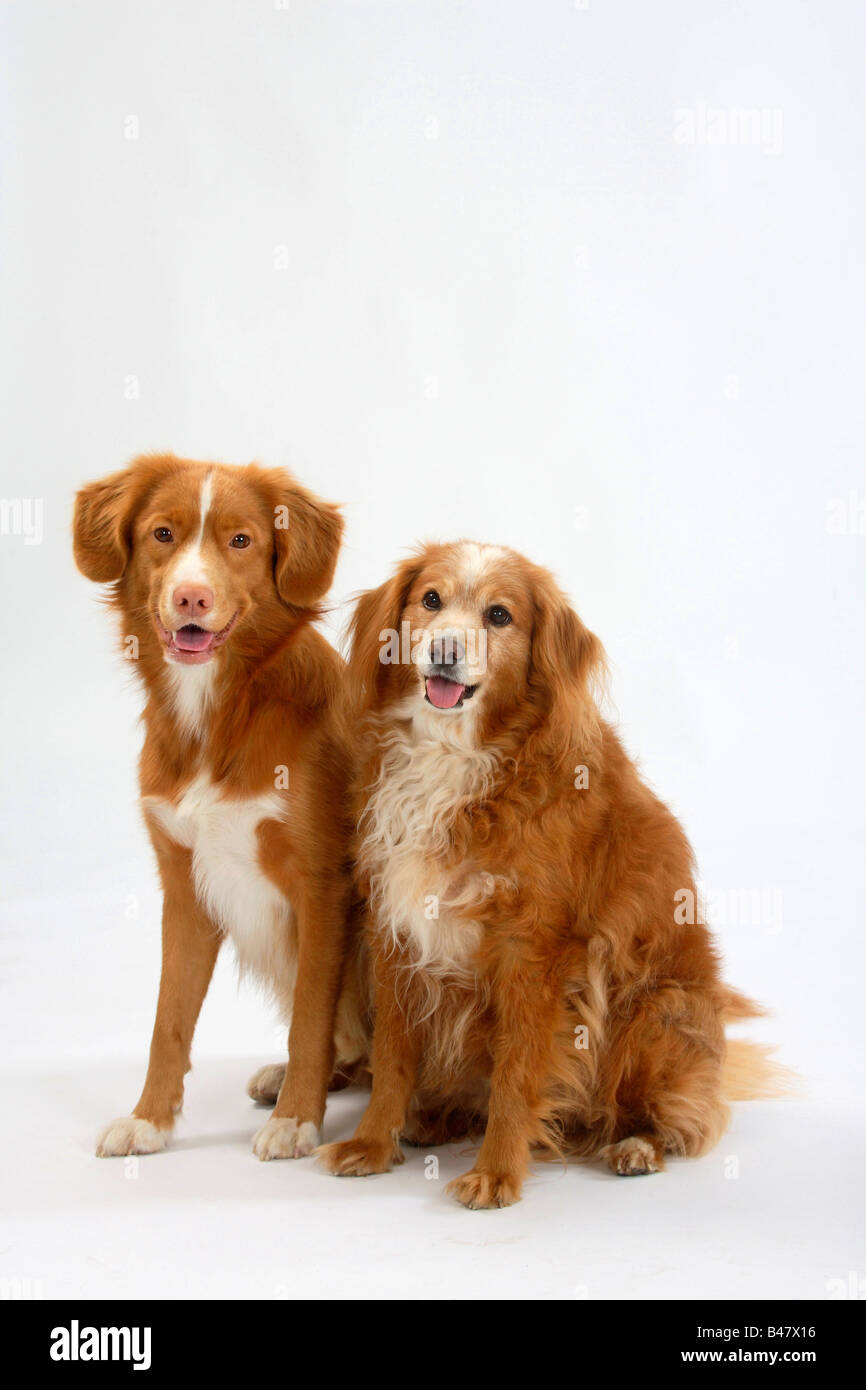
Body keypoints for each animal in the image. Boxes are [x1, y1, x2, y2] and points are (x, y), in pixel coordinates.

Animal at [75, 450, 369, 1156]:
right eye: (162, 534)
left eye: (241, 541)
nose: (192, 597)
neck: (217, 710)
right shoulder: (183, 883)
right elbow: (169, 1020)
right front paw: (149, 1119)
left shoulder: (321, 885)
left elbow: (310, 1014)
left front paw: (296, 1119)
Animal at [319, 542, 783, 1206]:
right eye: (430, 600)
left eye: (499, 615)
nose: (445, 649)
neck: (456, 758)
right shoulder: (398, 931)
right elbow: (392, 1058)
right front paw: (372, 1143)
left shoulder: (533, 951)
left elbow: (518, 1073)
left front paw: (496, 1172)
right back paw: (431, 1119)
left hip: (655, 1009)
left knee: (685, 1117)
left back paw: (638, 1145)